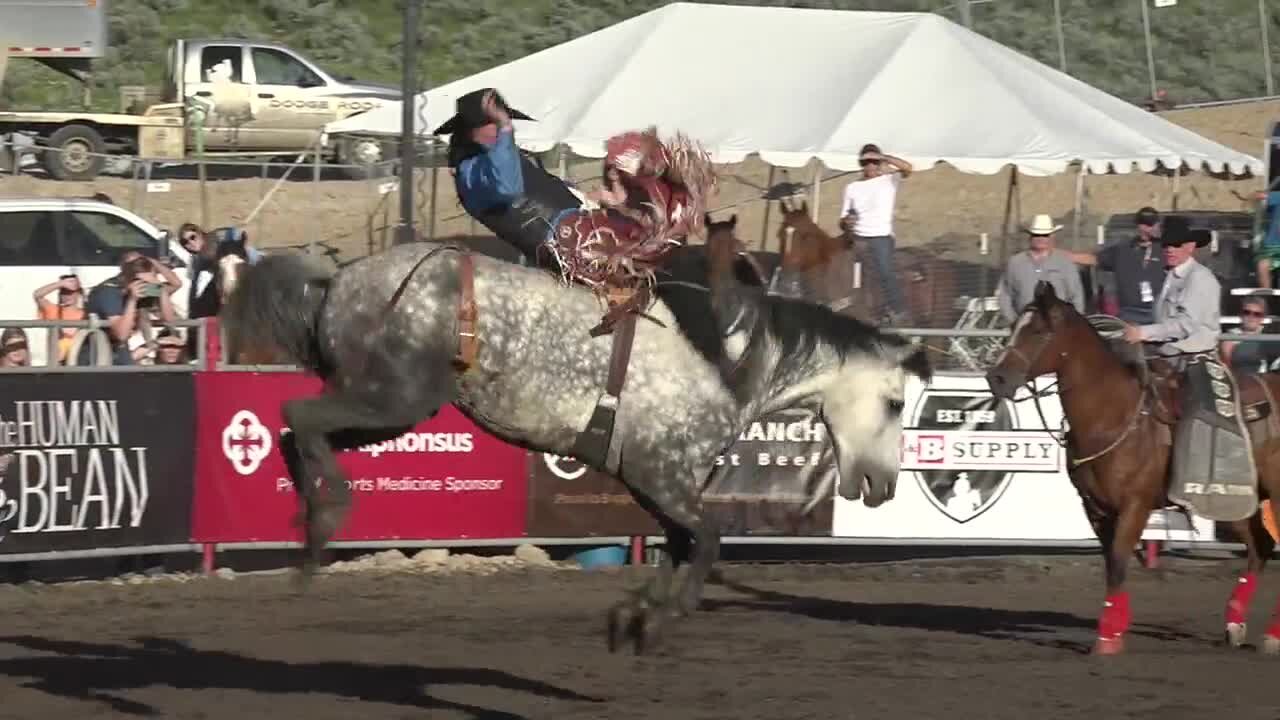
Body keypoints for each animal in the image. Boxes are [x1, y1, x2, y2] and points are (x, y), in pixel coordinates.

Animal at [222, 217, 931, 650]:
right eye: (896, 402)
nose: (884, 484)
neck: (731, 356)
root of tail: (336, 278)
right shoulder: (661, 474)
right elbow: (706, 540)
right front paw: (657, 619)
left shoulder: (656, 484)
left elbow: (681, 544)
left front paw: (632, 616)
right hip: (394, 397)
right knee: (298, 417)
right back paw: (320, 531)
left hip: (388, 407)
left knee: (296, 431)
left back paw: (310, 529)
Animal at [983, 280, 1280, 655]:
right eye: (1013, 327)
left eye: (1038, 331)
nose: (996, 378)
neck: (1113, 415)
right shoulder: (1095, 509)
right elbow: (1112, 563)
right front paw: (1115, 629)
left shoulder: (1135, 505)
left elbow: (1119, 563)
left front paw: (1106, 640)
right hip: (1236, 502)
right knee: (1260, 547)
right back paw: (1234, 625)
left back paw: (1271, 635)